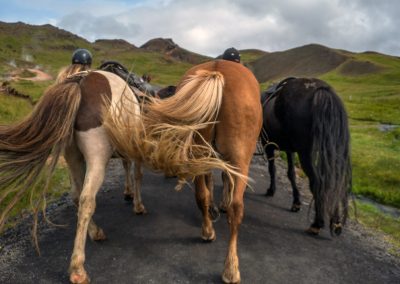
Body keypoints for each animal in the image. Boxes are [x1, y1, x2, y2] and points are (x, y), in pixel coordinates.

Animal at [106, 59, 262, 282]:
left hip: (196, 152)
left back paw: (207, 231)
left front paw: (214, 209)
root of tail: (216, 71)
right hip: (239, 160)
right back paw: (231, 268)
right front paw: (219, 206)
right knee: (236, 208)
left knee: (201, 195)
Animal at [260, 77, 350, 235]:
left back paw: (317, 223)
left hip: (306, 154)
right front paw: (296, 202)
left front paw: (271, 190)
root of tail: (322, 91)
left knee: (317, 182)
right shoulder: (289, 149)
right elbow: (291, 174)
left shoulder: (268, 145)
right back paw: (336, 222)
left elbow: (272, 169)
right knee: (335, 183)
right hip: (333, 152)